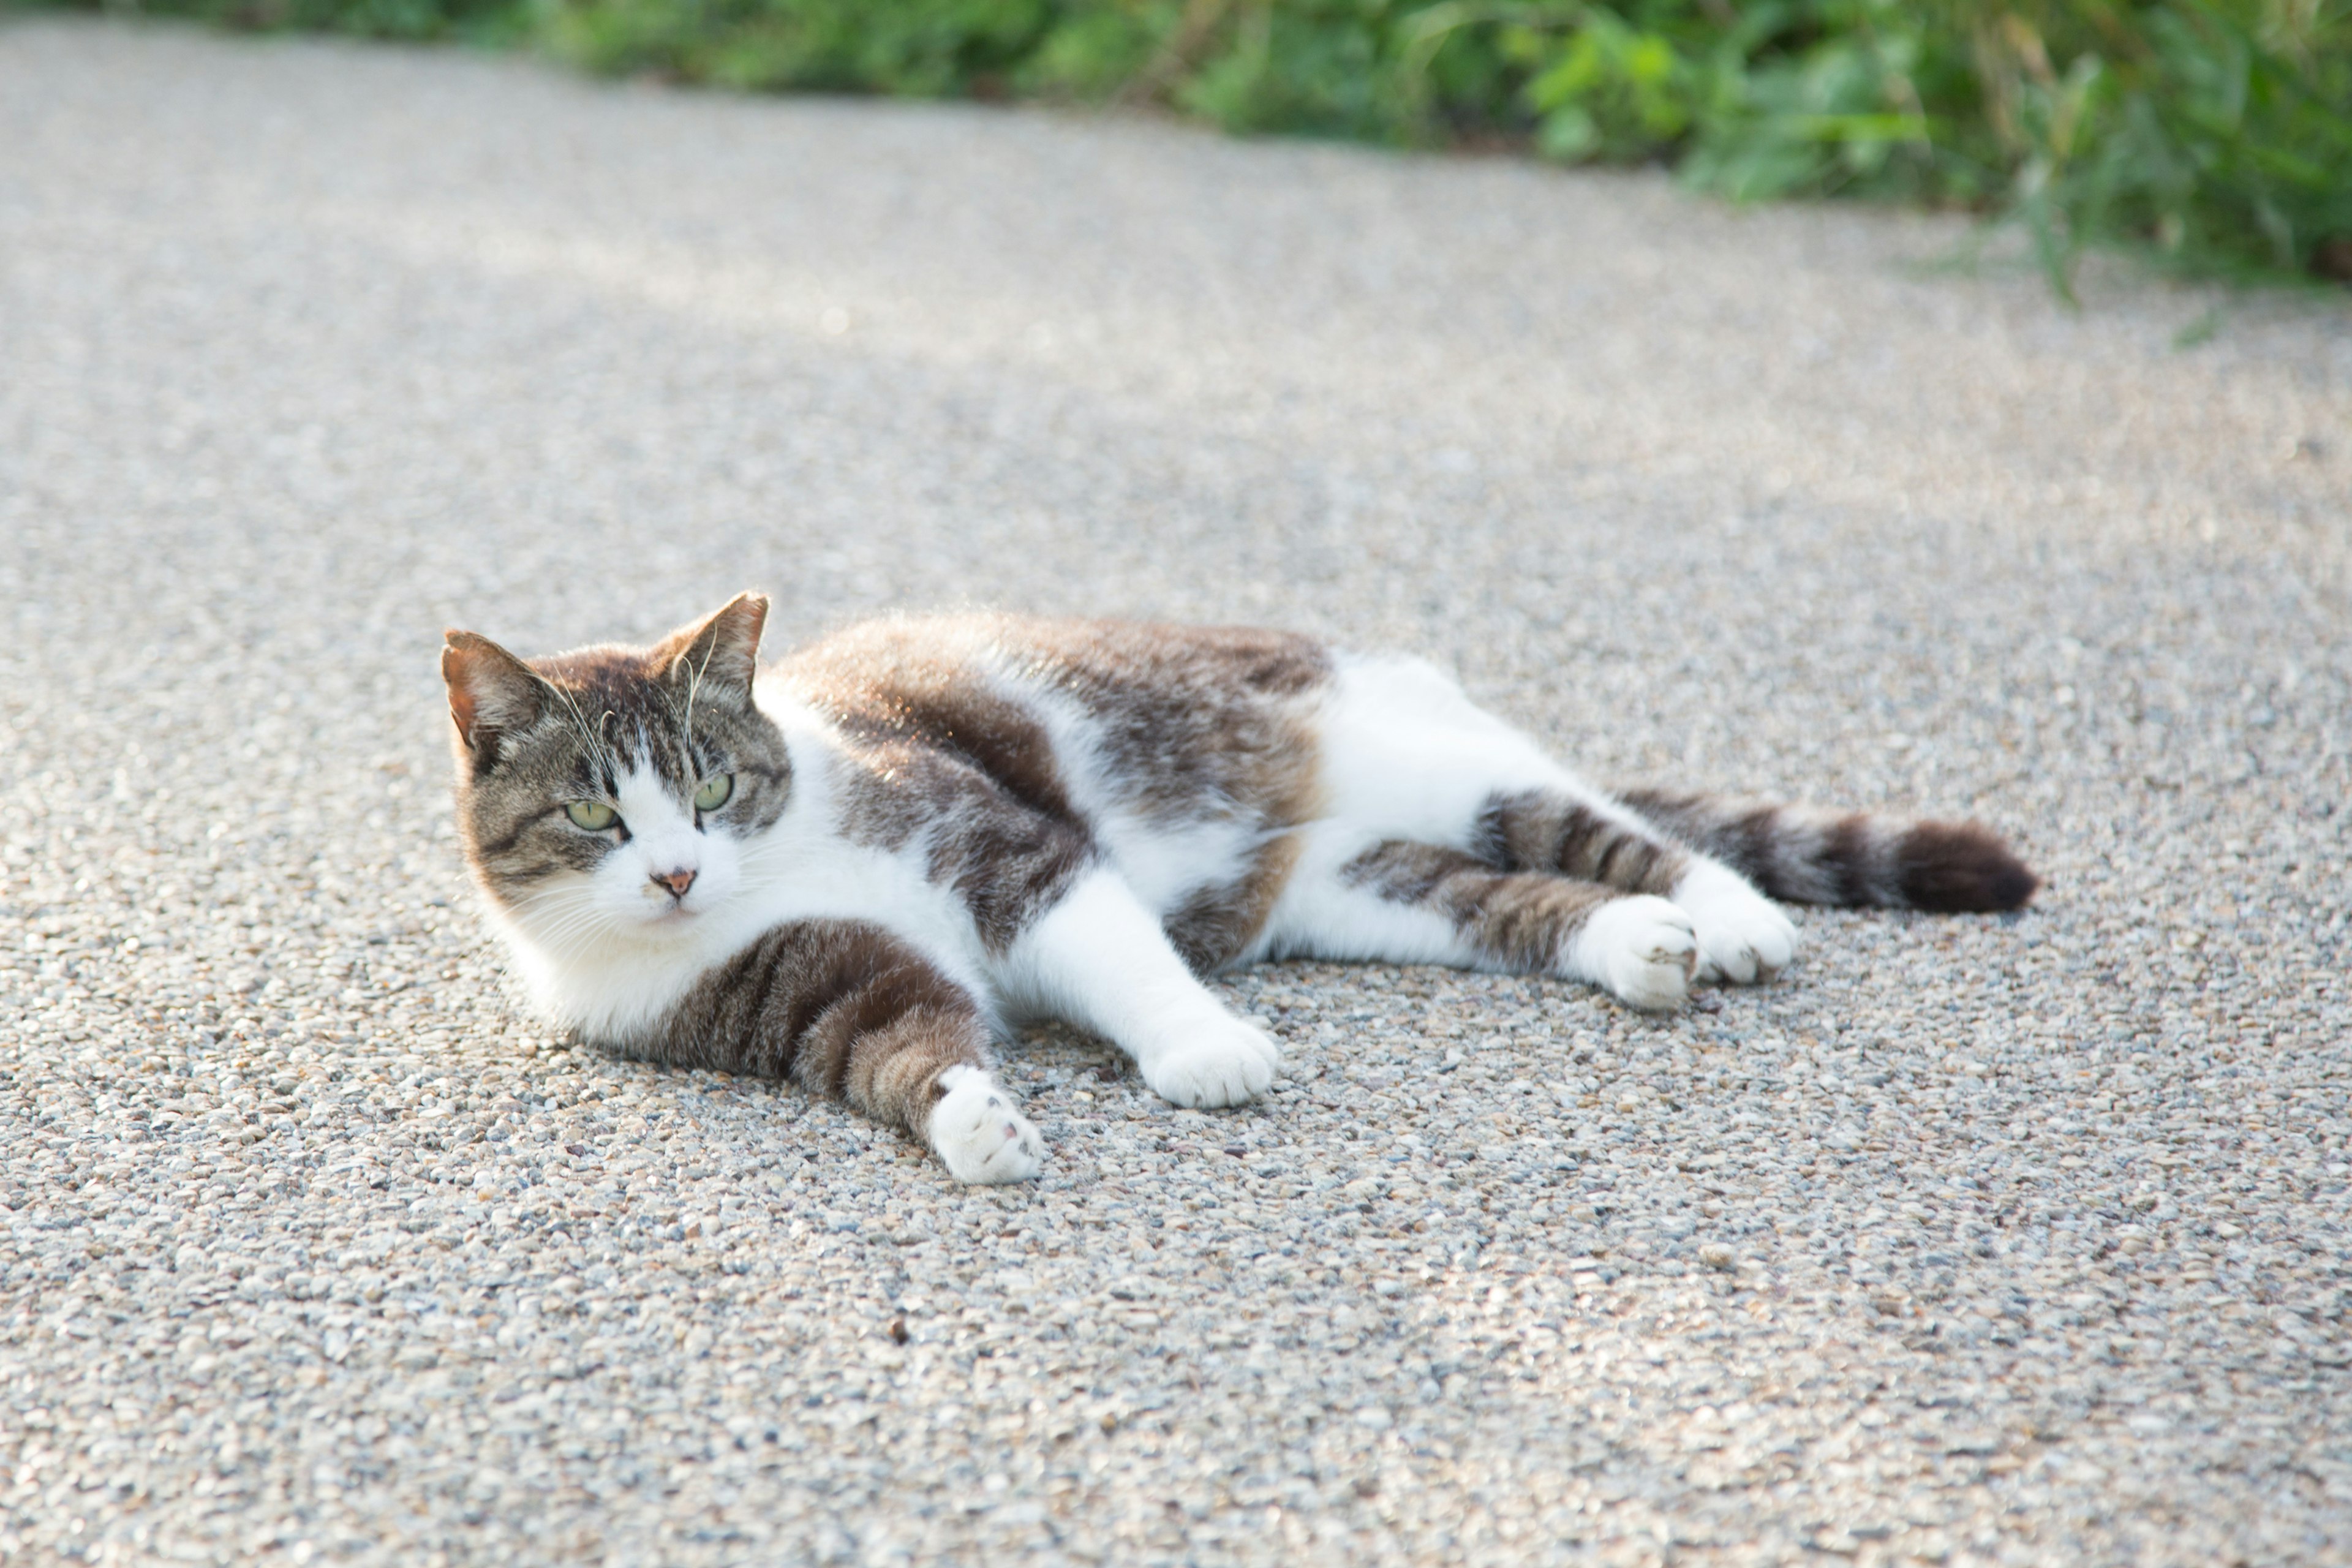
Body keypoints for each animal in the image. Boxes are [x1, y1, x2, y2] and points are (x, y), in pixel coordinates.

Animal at [444, 595, 2041, 1185]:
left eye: (712, 784)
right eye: (595, 811)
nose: (675, 865)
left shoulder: (1009, 852)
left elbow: (1120, 956)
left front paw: (1204, 1048)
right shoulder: (802, 987)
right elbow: (897, 1044)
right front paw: (975, 1119)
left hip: (1420, 756)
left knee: (1596, 815)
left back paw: (1733, 914)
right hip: (1346, 883)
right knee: (1495, 896)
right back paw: (1643, 947)